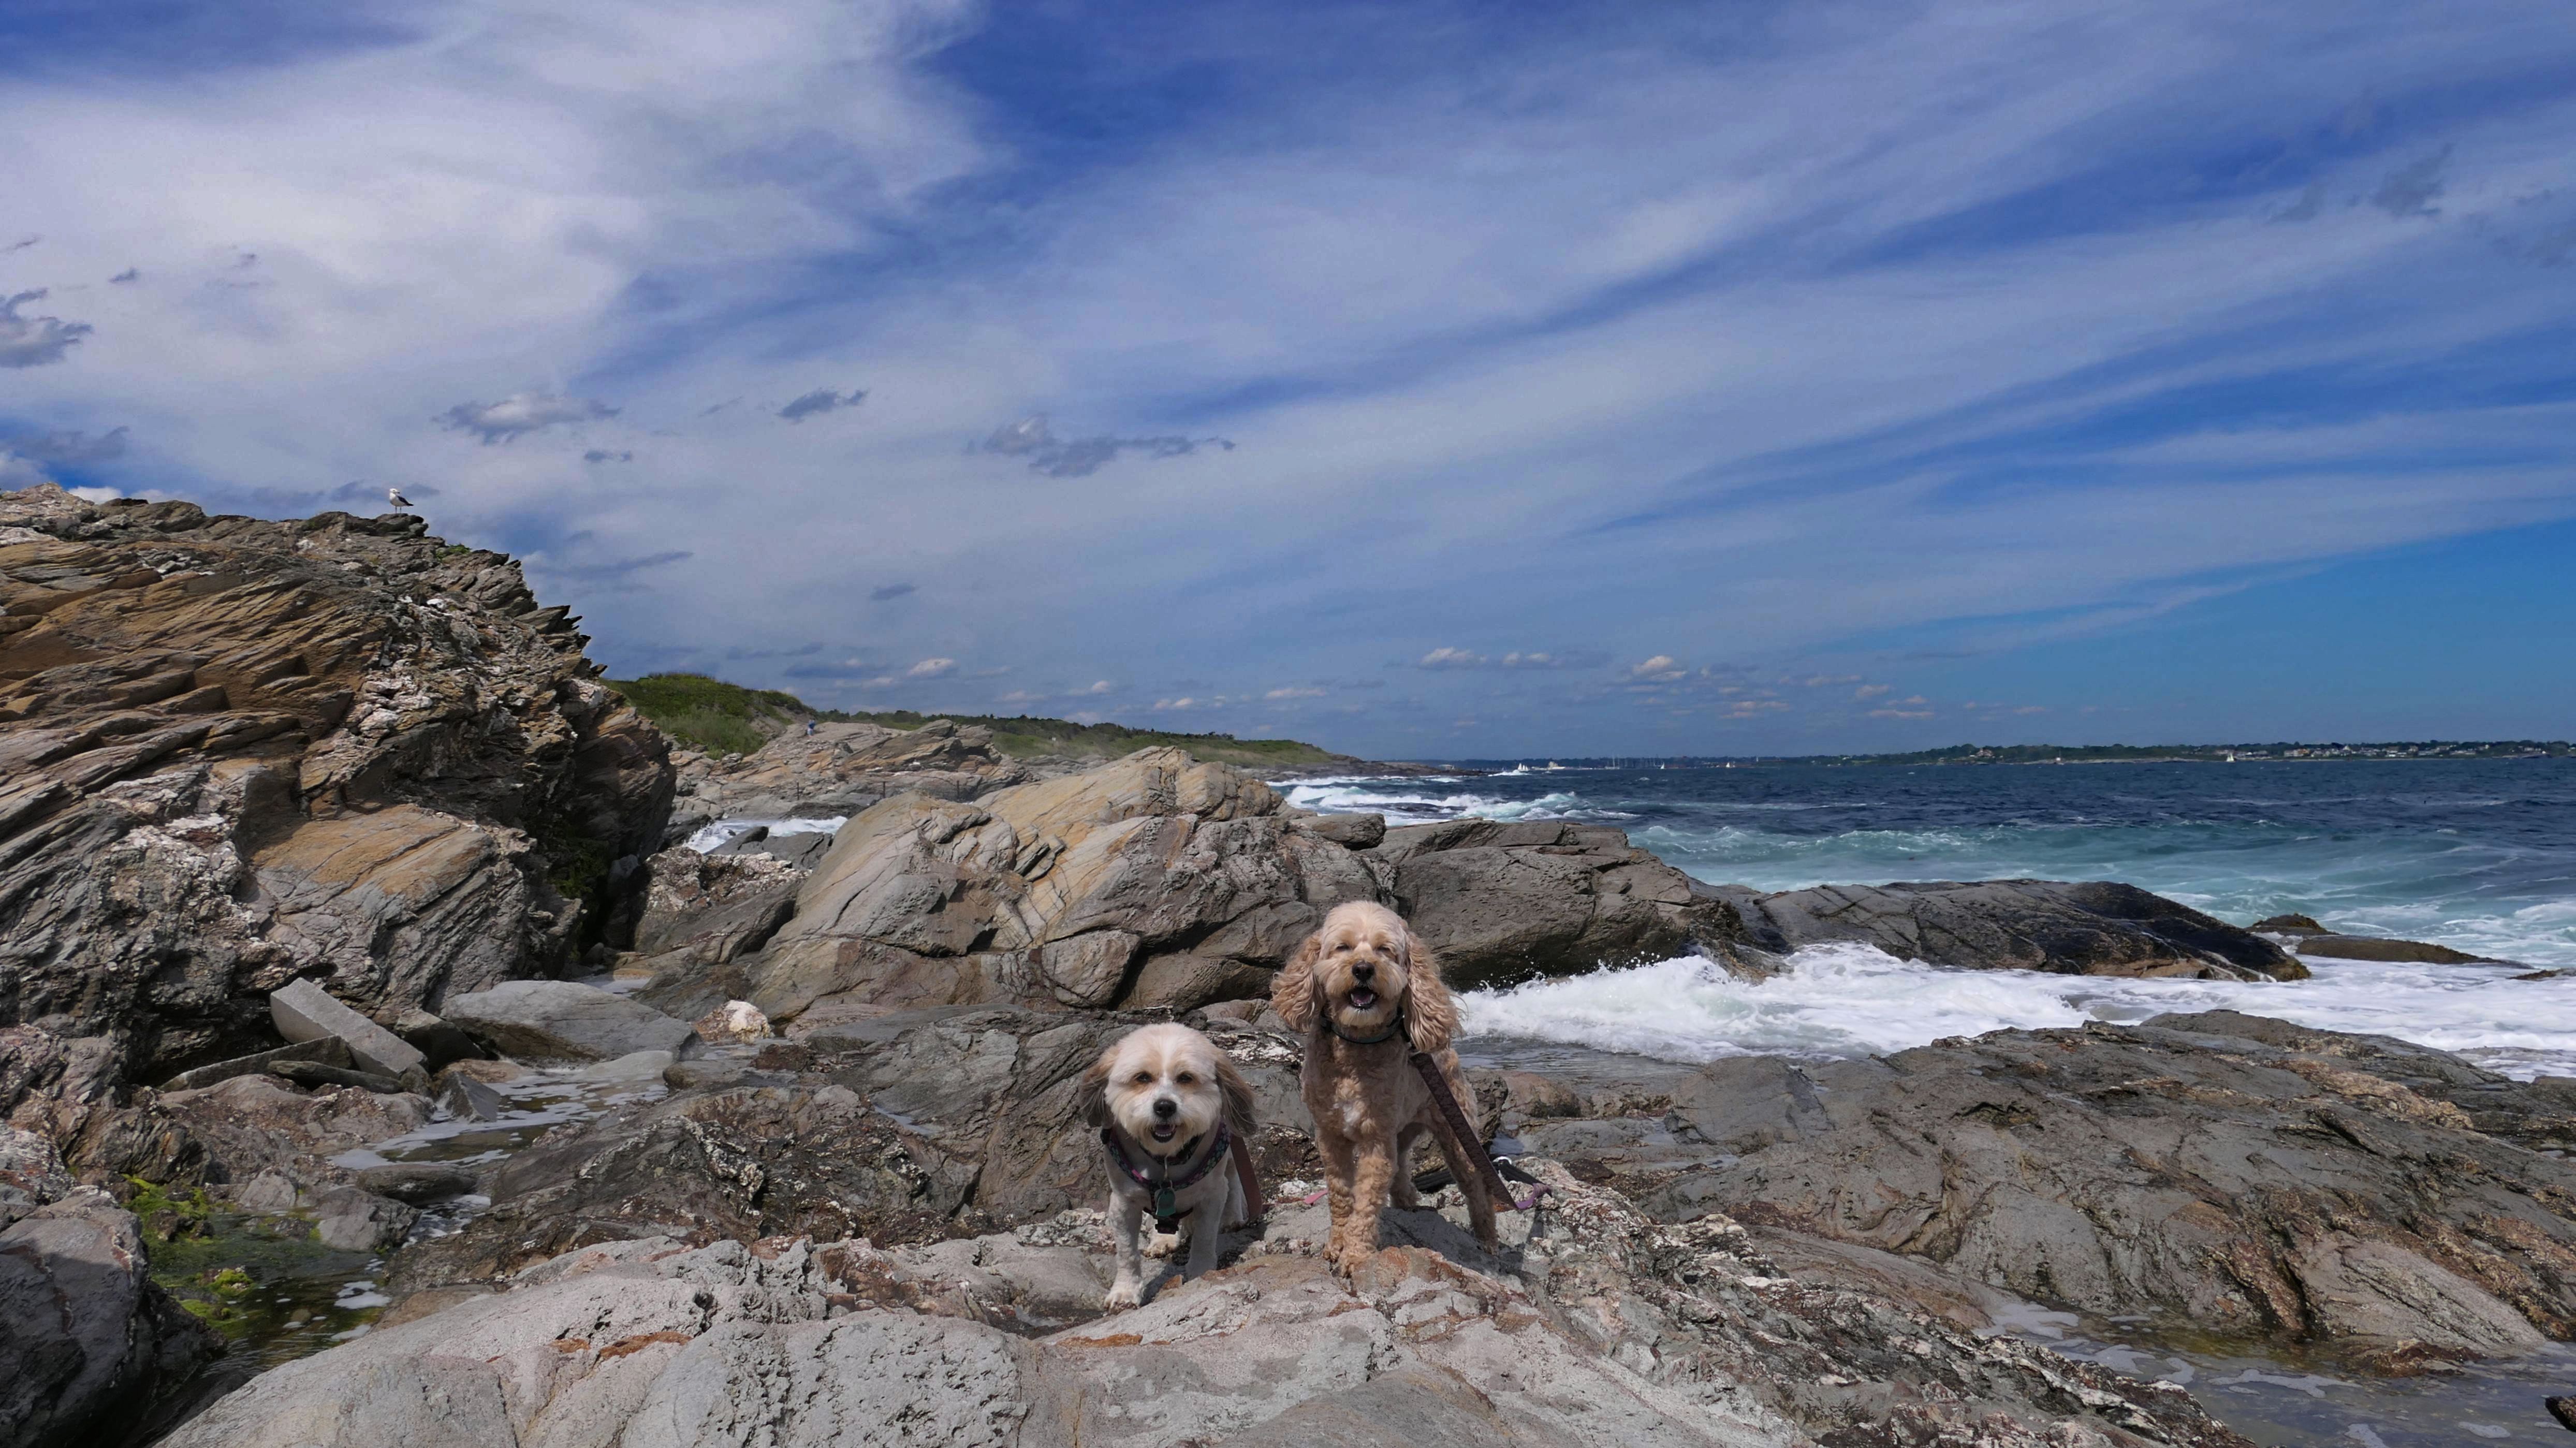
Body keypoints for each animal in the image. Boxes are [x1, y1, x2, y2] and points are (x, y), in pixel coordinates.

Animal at [1082, 1021, 1257, 1309]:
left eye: (1186, 1078)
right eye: (1142, 1078)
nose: (1164, 1106)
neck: (1166, 1159)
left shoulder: (1211, 1195)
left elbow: (1205, 1238)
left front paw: (1200, 1272)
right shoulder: (1122, 1203)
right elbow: (1127, 1252)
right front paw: (1125, 1291)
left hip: (1231, 1150)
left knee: (1233, 1179)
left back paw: (1231, 1217)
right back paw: (1163, 1238)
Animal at [1273, 901, 1497, 1275]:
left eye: (1385, 950)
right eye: (1343, 947)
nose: (1363, 968)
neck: (1356, 1043)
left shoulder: (1376, 1139)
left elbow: (1365, 1201)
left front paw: (1355, 1254)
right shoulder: (1330, 1136)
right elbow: (1340, 1192)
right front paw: (1336, 1243)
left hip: (1457, 1133)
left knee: (1477, 1185)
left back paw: (1488, 1237)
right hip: (1403, 1129)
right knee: (1402, 1165)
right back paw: (1407, 1201)